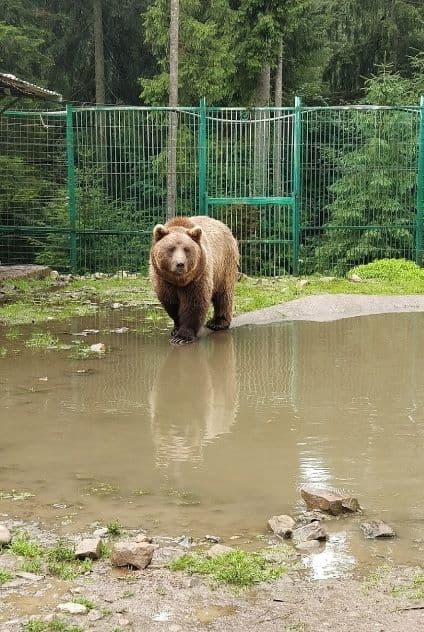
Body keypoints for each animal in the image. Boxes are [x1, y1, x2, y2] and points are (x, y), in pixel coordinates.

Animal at [149, 217, 238, 346]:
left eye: (186, 249)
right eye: (171, 249)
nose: (180, 264)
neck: (179, 280)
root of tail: (222, 224)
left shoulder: (198, 277)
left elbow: (195, 303)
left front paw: (182, 337)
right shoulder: (163, 280)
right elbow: (171, 303)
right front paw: (176, 328)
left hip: (224, 263)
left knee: (224, 294)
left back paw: (217, 323)